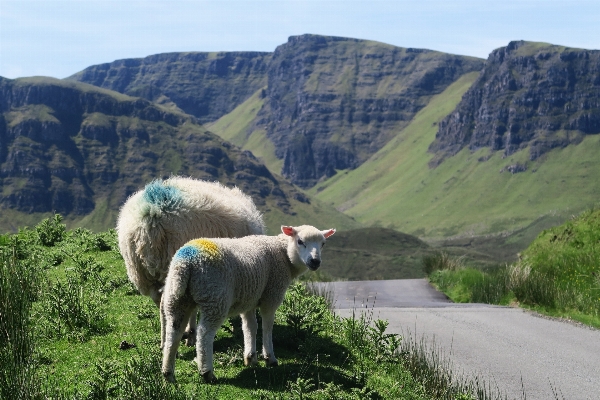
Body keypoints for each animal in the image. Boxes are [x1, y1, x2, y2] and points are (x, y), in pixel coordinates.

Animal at [159, 223, 336, 382]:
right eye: (300, 241)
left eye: (323, 244)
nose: (315, 261)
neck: (283, 254)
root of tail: (187, 262)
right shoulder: (271, 296)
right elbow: (267, 327)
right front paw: (269, 358)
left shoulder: (249, 299)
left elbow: (250, 327)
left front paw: (250, 357)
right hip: (215, 297)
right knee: (204, 334)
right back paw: (207, 372)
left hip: (177, 297)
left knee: (173, 332)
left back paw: (168, 373)